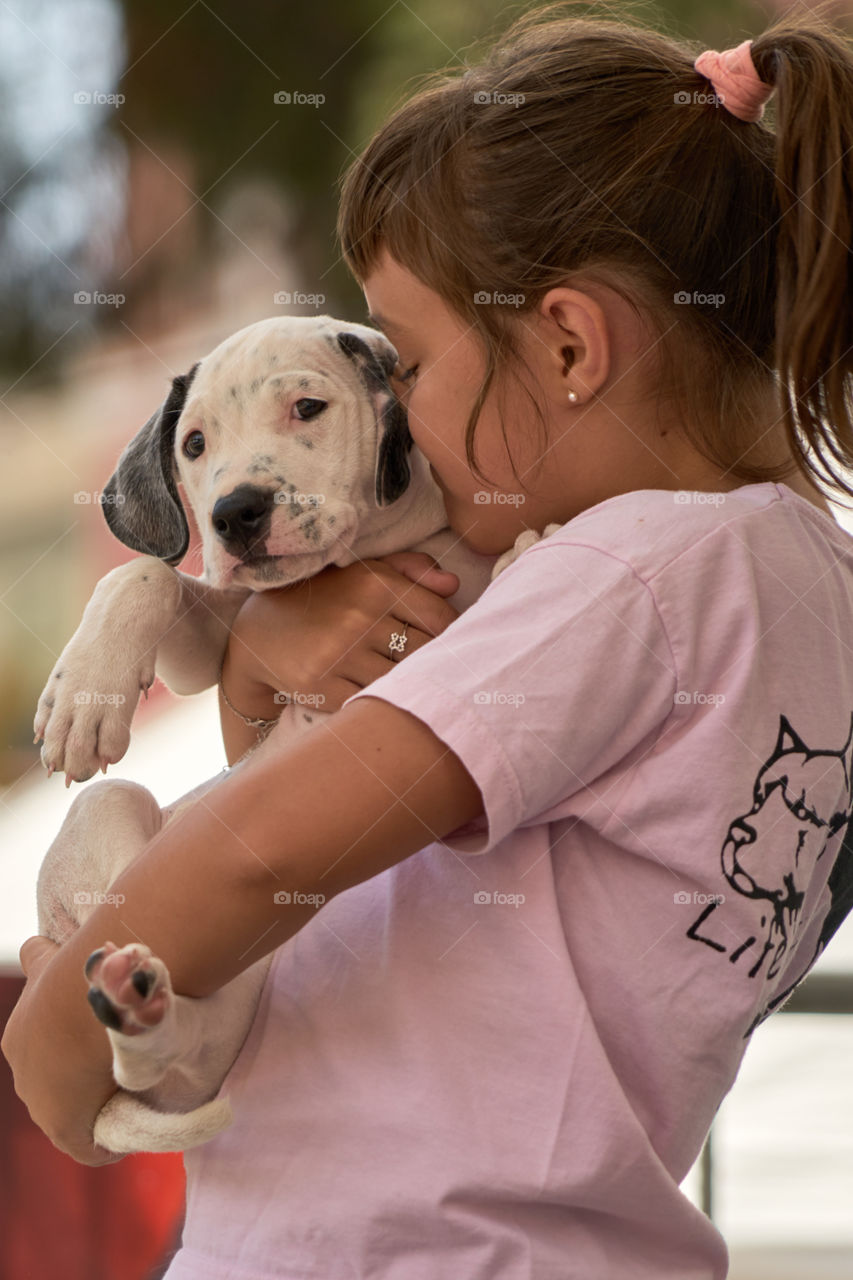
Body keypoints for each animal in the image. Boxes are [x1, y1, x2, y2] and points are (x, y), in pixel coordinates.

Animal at [31, 314, 558, 1157]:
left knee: (183, 1050)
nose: (234, 513)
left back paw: (137, 1002)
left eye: (307, 408)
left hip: (226, 1009)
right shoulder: (207, 649)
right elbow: (146, 573)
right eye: (194, 444)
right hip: (110, 819)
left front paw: (520, 553)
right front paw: (84, 697)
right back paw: (125, 991)